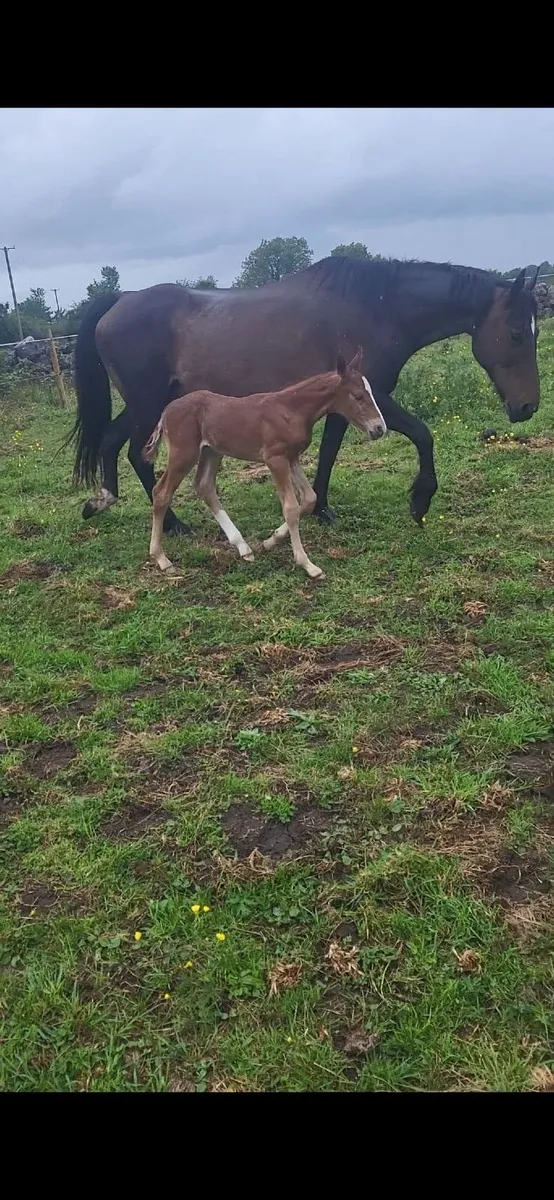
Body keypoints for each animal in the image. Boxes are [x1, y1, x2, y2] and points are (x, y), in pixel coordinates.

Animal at [70, 256, 540, 536]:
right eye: (518, 332)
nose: (528, 406)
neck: (377, 308)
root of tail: (120, 300)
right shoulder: (374, 396)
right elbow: (423, 434)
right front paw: (420, 500)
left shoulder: (346, 404)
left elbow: (329, 452)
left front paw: (323, 508)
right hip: (147, 404)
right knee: (137, 454)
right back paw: (172, 524)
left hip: (144, 405)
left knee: (112, 444)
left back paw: (103, 502)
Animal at [142, 348, 386, 581]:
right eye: (358, 396)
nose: (379, 428)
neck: (291, 409)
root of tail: (165, 412)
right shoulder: (275, 458)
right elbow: (290, 508)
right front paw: (308, 565)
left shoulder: (292, 456)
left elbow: (309, 499)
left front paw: (270, 541)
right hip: (184, 454)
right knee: (161, 493)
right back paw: (161, 559)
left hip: (212, 451)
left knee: (204, 486)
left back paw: (243, 547)